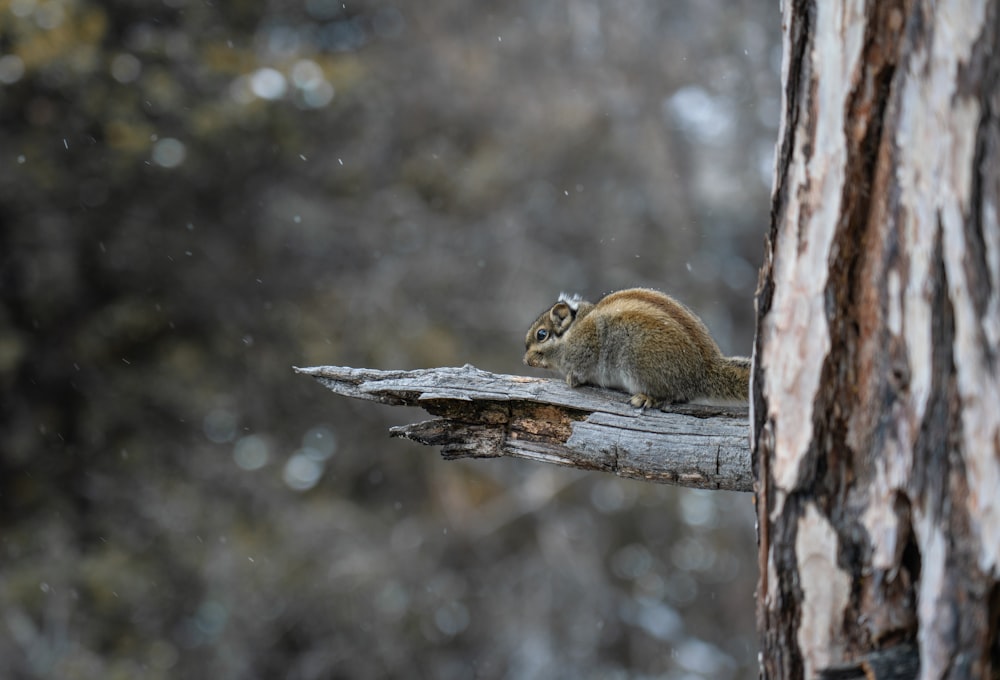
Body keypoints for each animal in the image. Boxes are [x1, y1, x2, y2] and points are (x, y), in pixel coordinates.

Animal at [524, 288, 752, 410]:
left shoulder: (586, 349)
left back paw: (647, 398)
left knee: (673, 395)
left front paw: (572, 379)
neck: (574, 329)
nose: (525, 361)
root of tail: (704, 372)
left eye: (541, 334)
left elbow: (580, 370)